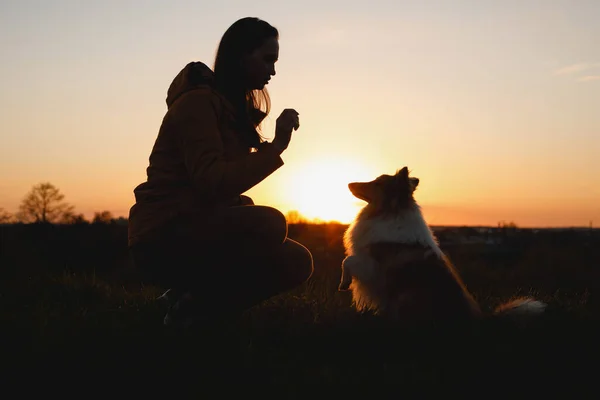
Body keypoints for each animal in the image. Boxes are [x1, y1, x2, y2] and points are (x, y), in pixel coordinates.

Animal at [340, 166, 548, 324]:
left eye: (377, 183)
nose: (349, 184)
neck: (390, 213)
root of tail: (481, 321)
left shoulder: (373, 268)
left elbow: (347, 260)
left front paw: (344, 284)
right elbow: (347, 260)